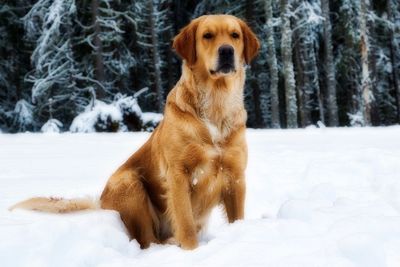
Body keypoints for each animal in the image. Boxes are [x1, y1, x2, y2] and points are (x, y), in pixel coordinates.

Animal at [10, 14, 260, 250]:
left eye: (235, 35)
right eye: (207, 35)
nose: (226, 51)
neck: (217, 104)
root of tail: (101, 201)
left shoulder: (236, 175)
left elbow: (237, 217)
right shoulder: (178, 174)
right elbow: (185, 224)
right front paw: (192, 252)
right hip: (130, 183)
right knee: (148, 240)